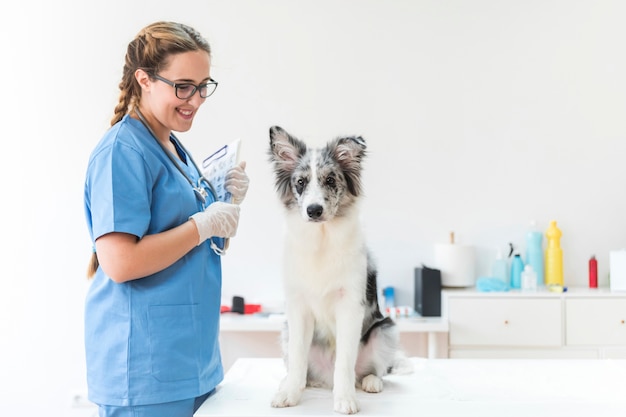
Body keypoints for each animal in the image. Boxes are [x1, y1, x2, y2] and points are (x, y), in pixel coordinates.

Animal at [266, 126, 410, 412]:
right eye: (300, 182)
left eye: (331, 180)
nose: (313, 210)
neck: (322, 239)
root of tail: (325, 379)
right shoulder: (297, 308)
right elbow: (297, 358)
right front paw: (289, 394)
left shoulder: (350, 305)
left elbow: (344, 361)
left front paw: (345, 399)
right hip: (286, 331)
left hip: (386, 330)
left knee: (373, 370)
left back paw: (370, 381)